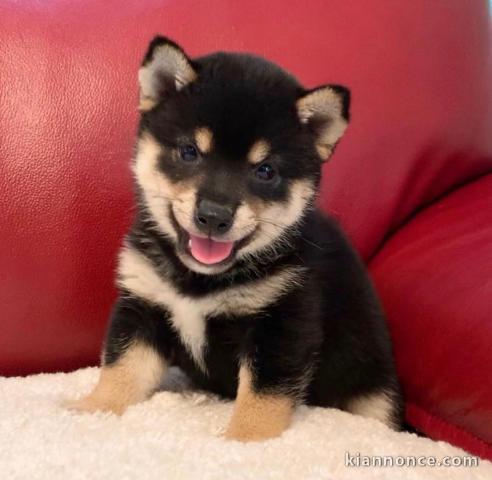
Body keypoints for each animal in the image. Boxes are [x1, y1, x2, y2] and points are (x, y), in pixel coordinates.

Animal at [66, 36, 404, 442]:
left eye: (266, 171)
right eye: (189, 152)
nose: (214, 215)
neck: (198, 281)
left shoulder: (281, 326)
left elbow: (261, 399)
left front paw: (243, 441)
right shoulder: (143, 307)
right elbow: (122, 370)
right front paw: (93, 408)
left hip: (373, 396)